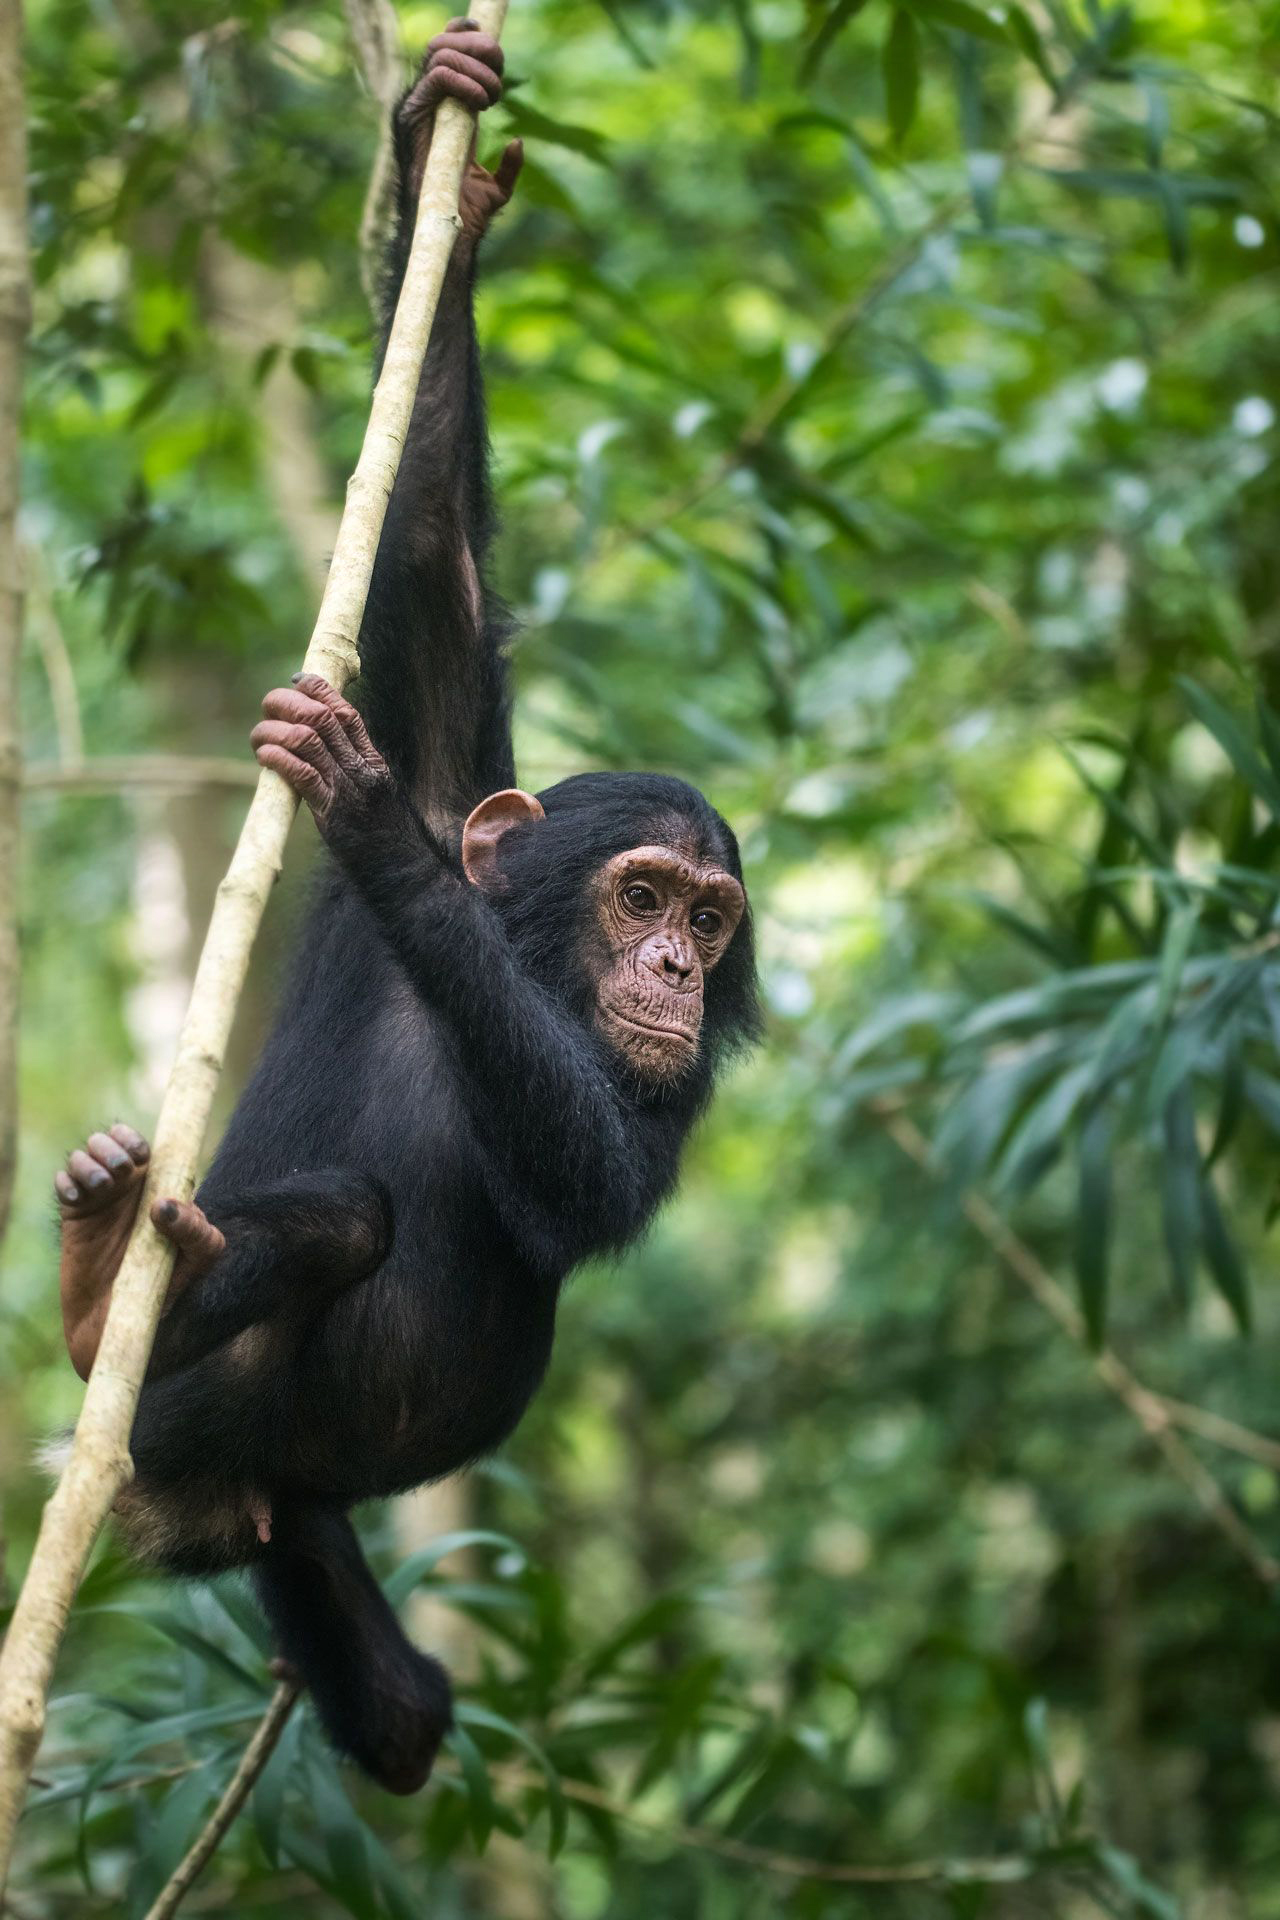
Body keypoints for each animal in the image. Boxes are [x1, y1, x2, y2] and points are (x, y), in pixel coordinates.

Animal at [52, 21, 760, 1796]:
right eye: (641, 893)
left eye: (712, 922)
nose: (671, 963)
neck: (520, 967)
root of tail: (182, 1508)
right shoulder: (458, 757)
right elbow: (426, 539)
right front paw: (443, 146)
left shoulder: (658, 1094)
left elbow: (592, 1171)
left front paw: (360, 813)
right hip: (184, 1433)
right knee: (329, 1226)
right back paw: (99, 1286)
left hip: (282, 1518)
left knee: (399, 1716)